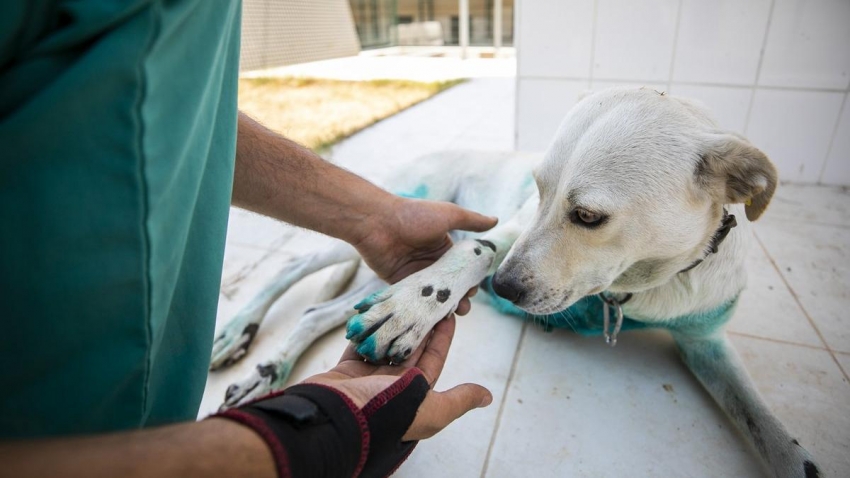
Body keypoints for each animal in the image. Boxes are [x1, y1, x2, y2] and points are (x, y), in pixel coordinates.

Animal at [209, 88, 820, 476]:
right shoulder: (505, 231)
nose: (501, 291)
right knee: (291, 267)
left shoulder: (705, 342)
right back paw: (240, 337)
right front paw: (418, 304)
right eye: (538, 189)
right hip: (380, 218)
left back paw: (267, 369)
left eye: (588, 216)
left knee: (319, 312)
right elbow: (477, 249)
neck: (641, 287)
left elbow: (776, 436)